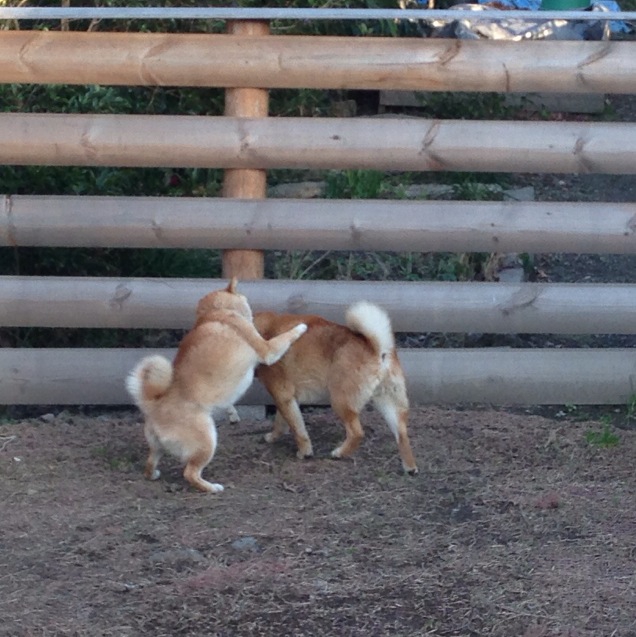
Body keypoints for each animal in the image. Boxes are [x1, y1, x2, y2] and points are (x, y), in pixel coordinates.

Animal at [125, 278, 308, 492]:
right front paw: (301, 327)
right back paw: (211, 487)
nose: (253, 313)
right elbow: (286, 336)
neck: (215, 313)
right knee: (190, 473)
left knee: (150, 464)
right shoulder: (267, 350)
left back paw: (154, 474)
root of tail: (154, 406)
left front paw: (232, 414)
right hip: (207, 442)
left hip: (157, 449)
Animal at [246, 300, 420, 474]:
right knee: (402, 434)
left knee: (357, 433)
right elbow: (283, 423)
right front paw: (273, 436)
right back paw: (410, 467)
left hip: (340, 401)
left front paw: (304, 452)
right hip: (388, 403)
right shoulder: (289, 398)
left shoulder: (282, 394)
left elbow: (298, 430)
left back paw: (339, 453)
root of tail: (378, 348)